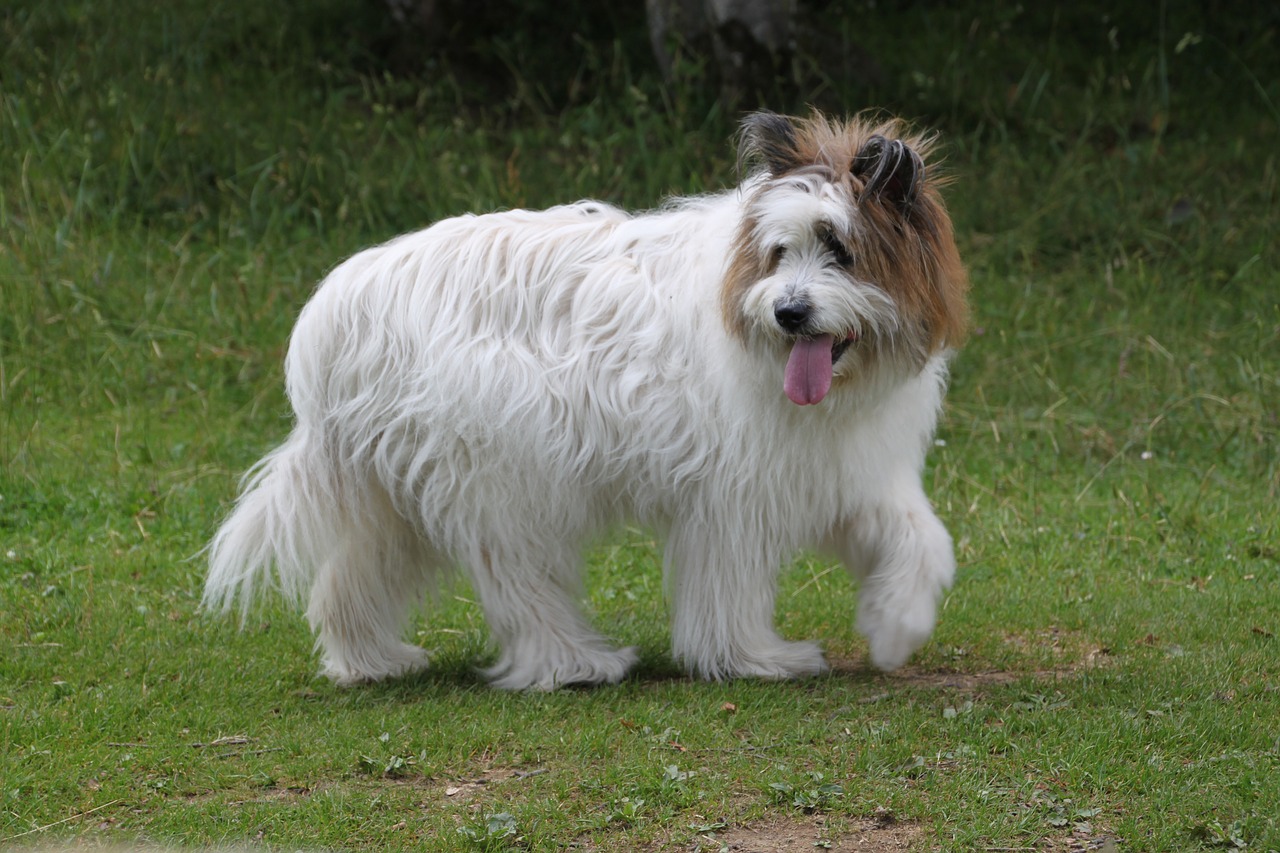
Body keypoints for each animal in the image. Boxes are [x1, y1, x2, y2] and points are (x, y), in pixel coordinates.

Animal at [204, 109, 967, 686]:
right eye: (780, 252)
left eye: (840, 251)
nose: (789, 312)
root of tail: (338, 307)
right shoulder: (733, 492)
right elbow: (730, 584)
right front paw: (752, 657)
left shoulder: (837, 465)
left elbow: (920, 537)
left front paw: (895, 624)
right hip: (500, 474)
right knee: (518, 579)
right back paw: (572, 662)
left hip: (400, 482)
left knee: (357, 569)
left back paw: (369, 659)